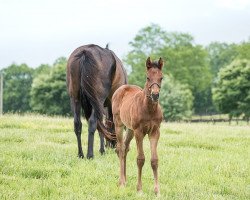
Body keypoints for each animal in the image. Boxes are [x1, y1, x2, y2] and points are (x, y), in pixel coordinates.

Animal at [112, 57, 164, 195]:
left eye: (161, 77)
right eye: (147, 77)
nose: (155, 95)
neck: (149, 109)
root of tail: (122, 88)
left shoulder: (155, 132)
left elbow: (154, 160)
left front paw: (157, 191)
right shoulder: (139, 132)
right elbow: (140, 159)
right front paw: (139, 190)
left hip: (130, 129)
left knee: (125, 148)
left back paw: (125, 180)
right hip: (119, 125)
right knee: (120, 148)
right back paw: (121, 182)